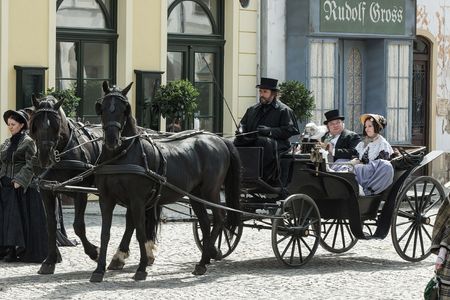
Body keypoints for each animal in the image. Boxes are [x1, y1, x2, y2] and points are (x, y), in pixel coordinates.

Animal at [27, 95, 160, 274]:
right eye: (35, 123)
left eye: (56, 125)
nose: (44, 157)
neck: (64, 151)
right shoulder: (46, 190)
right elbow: (50, 225)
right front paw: (49, 261)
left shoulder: (79, 192)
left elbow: (78, 226)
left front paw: (94, 252)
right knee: (133, 219)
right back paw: (126, 255)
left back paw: (125, 255)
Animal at [89, 81, 241, 282]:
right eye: (103, 108)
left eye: (125, 109)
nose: (112, 140)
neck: (121, 156)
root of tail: (219, 139)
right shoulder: (106, 199)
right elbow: (105, 234)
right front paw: (99, 270)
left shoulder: (137, 201)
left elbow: (140, 232)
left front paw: (141, 268)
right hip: (195, 194)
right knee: (205, 222)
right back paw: (204, 260)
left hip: (211, 191)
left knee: (218, 219)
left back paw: (206, 258)